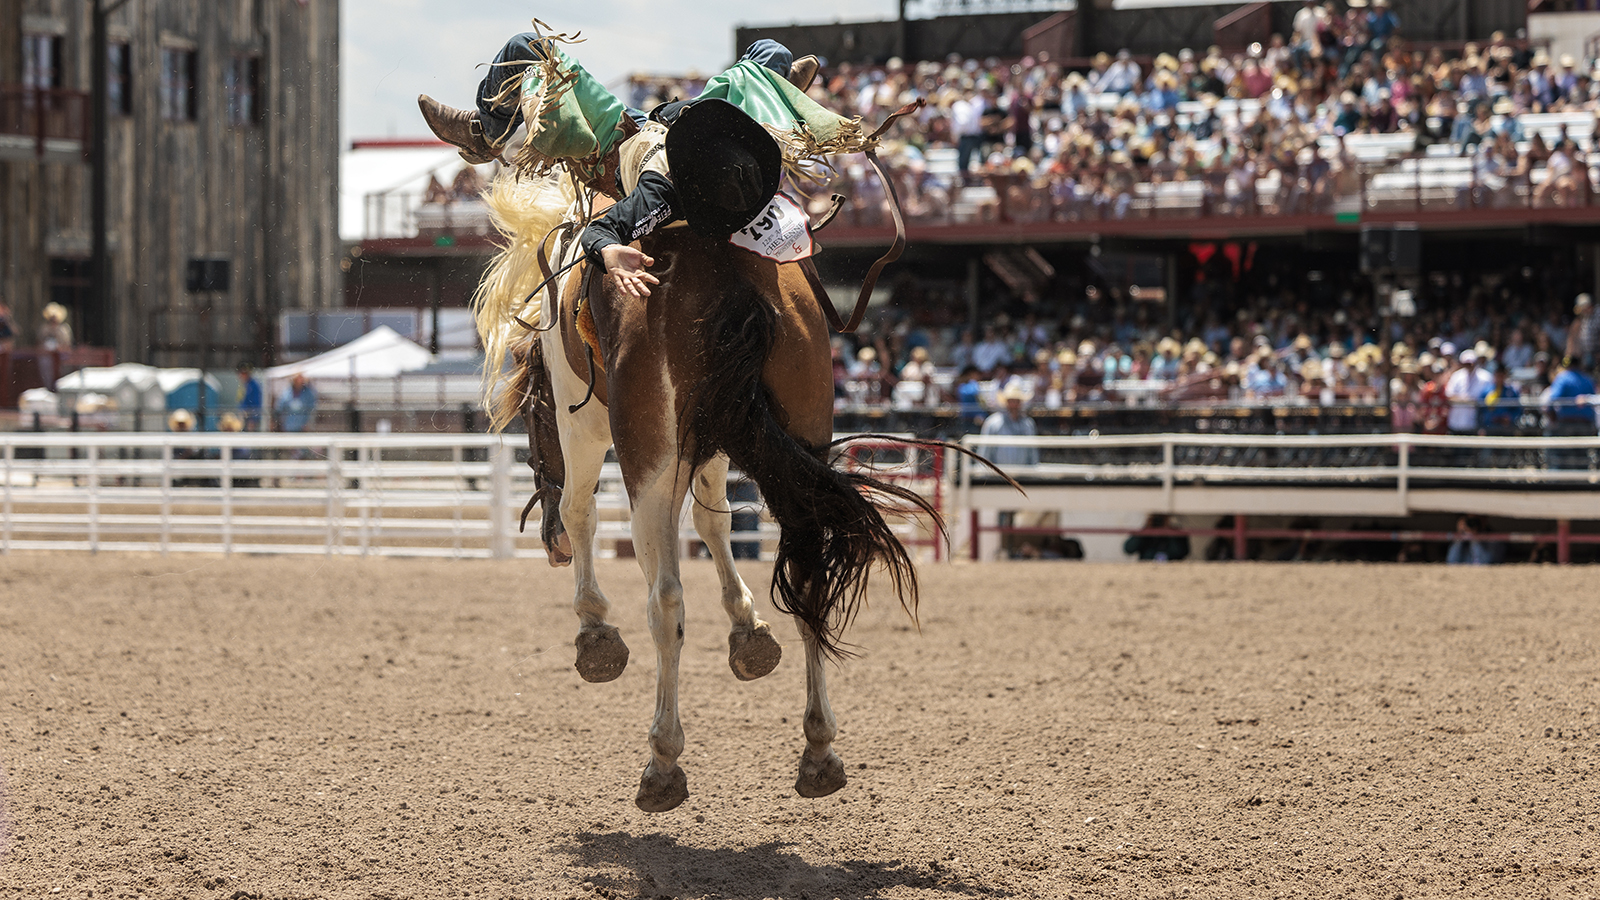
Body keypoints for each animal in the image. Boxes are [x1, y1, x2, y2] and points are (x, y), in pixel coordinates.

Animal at [480, 171, 934, 810]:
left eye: (529, 415)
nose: (550, 547)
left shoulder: (582, 420)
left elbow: (581, 510)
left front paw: (595, 634)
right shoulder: (717, 437)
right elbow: (715, 520)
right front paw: (749, 632)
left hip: (646, 460)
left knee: (665, 598)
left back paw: (662, 761)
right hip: (801, 434)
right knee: (807, 571)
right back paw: (819, 750)